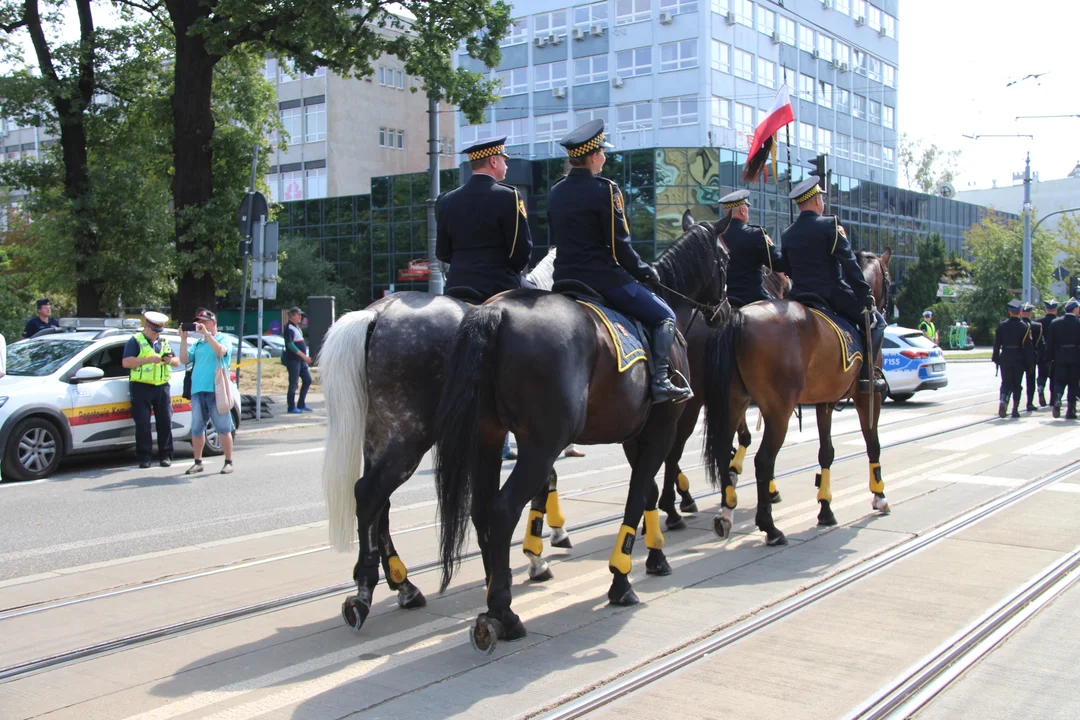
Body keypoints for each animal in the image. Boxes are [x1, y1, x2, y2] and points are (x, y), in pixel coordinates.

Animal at [432, 223, 725, 651]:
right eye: (726, 258)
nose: (725, 312)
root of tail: (495, 312)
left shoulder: (634, 436)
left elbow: (648, 492)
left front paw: (656, 557)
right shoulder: (661, 430)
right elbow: (637, 497)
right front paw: (622, 580)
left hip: (488, 437)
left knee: (482, 509)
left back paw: (496, 596)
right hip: (541, 445)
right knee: (503, 509)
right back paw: (505, 612)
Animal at [699, 250, 894, 544]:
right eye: (890, 280)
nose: (884, 310)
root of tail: (738, 317)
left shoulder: (825, 402)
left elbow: (826, 453)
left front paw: (825, 508)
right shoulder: (868, 399)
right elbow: (874, 444)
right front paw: (879, 495)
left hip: (734, 402)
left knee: (724, 452)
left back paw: (726, 511)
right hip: (778, 412)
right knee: (763, 461)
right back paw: (770, 527)